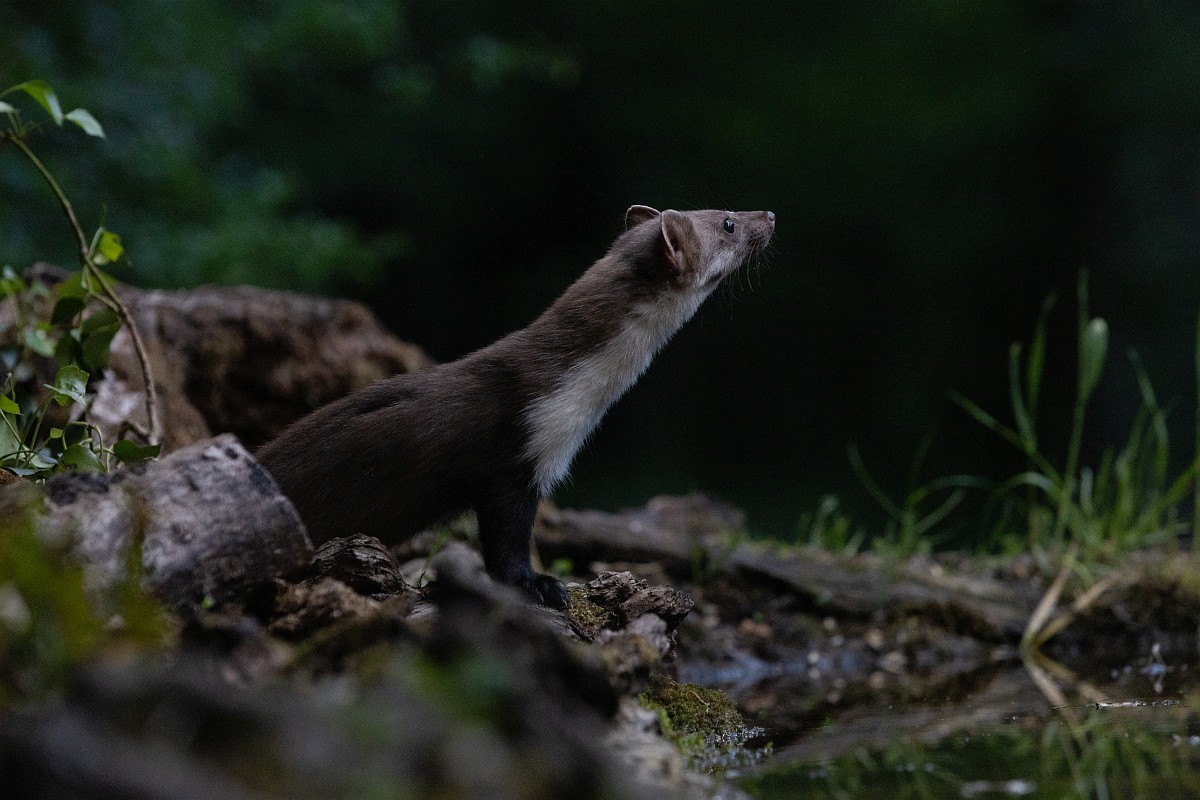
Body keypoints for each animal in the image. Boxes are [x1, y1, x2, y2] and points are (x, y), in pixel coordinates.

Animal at [257, 206, 776, 606]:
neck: (579, 393)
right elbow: (505, 543)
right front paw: (542, 586)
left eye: (720, 208)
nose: (769, 215)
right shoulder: (519, 454)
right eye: (727, 222)